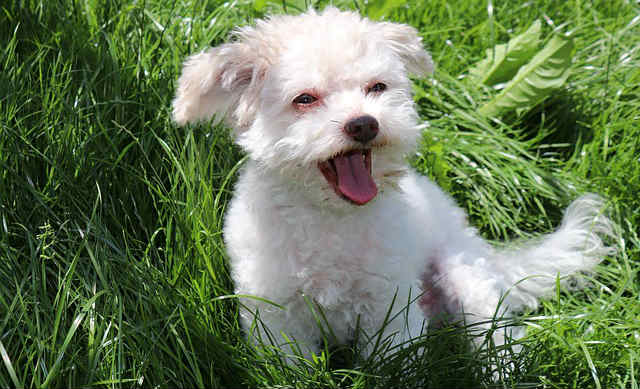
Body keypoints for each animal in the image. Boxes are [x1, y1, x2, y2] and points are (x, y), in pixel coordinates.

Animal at [171, 6, 616, 360]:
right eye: (304, 99)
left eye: (377, 87)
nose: (364, 123)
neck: (332, 218)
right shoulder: (276, 315)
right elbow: (291, 365)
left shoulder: (390, 307)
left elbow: (394, 365)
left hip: (467, 279)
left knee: (498, 342)